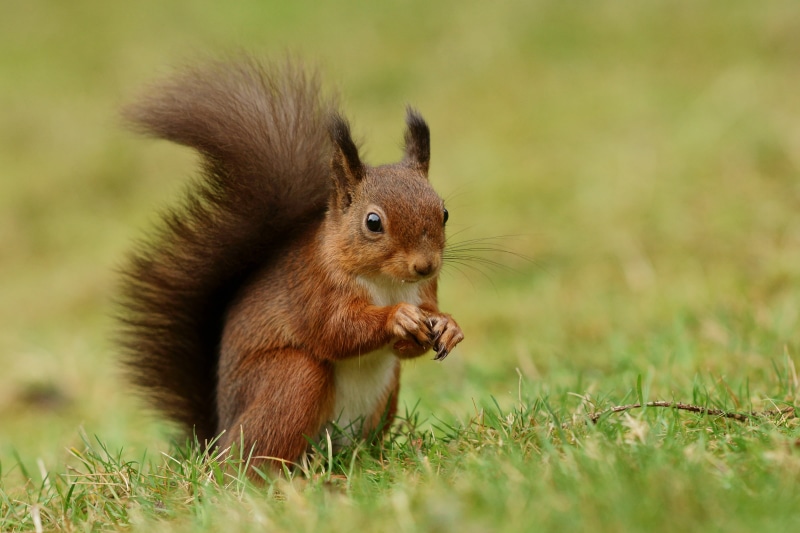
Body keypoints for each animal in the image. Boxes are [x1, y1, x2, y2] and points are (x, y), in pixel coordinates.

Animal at [117, 58, 464, 471]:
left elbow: (409, 343)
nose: (426, 266)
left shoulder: (425, 291)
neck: (385, 282)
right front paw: (397, 317)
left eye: (444, 212)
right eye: (373, 222)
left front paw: (448, 325)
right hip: (292, 378)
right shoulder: (313, 289)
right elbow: (336, 330)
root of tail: (217, 439)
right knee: (255, 460)